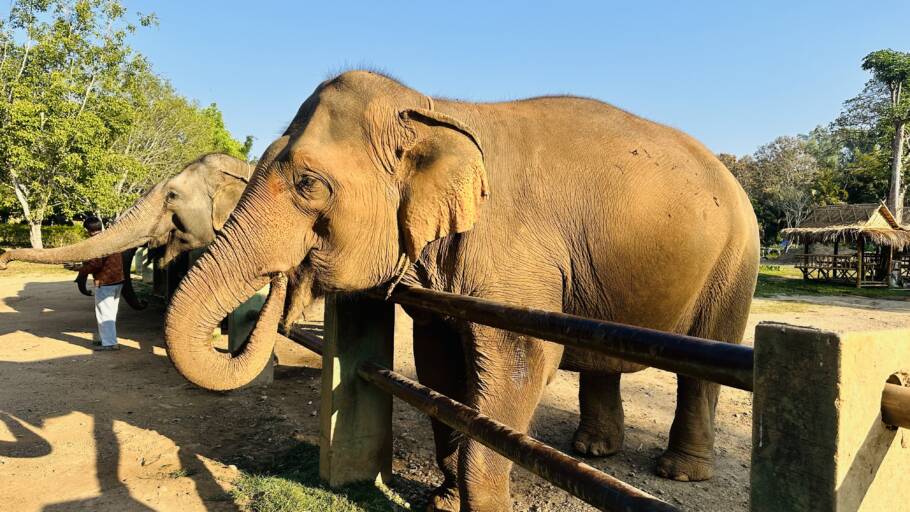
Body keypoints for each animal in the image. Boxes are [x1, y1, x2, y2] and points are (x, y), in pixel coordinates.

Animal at [163, 71, 759, 511]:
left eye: (309, 185)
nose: (284, 281)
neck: (434, 110)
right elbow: (439, 366)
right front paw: (445, 501)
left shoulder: (517, 257)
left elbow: (527, 358)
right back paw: (592, 450)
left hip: (736, 262)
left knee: (701, 368)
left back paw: (679, 473)